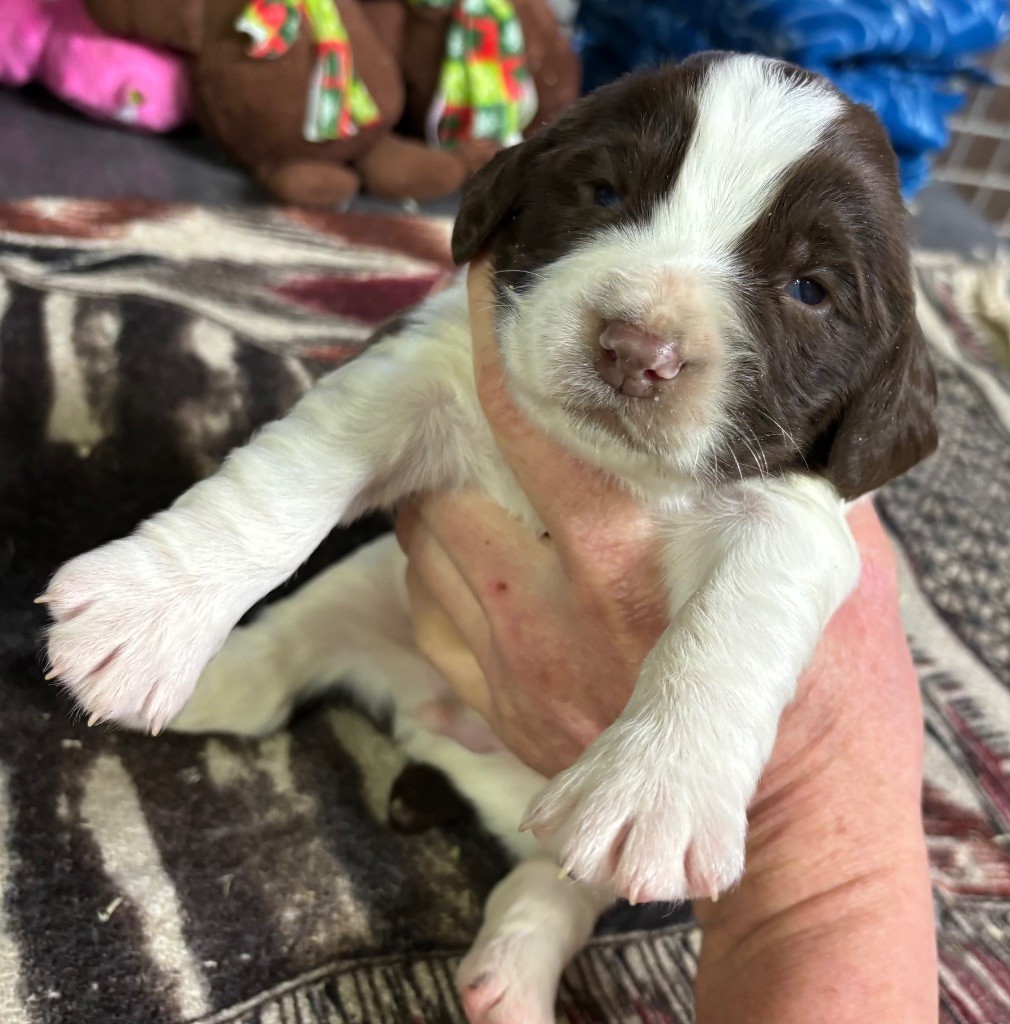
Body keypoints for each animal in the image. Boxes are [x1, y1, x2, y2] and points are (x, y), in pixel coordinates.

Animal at [41, 54, 938, 1024]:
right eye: (603, 191)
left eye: (810, 289)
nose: (637, 350)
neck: (604, 471)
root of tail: (443, 737)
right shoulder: (424, 364)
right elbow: (284, 484)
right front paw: (146, 611)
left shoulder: (801, 515)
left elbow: (736, 618)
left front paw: (659, 783)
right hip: (369, 587)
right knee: (282, 659)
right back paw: (206, 678)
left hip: (561, 837)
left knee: (558, 882)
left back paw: (515, 971)